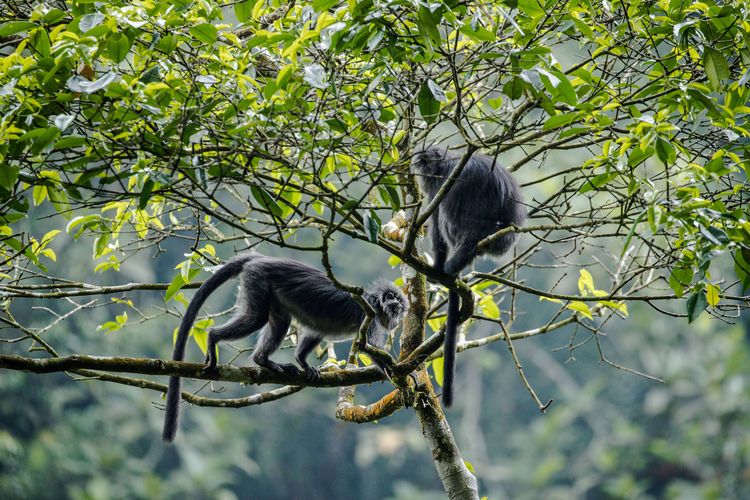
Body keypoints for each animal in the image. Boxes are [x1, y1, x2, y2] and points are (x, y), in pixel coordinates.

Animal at [164, 252, 408, 444]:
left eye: (401, 311)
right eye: (396, 307)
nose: (397, 321)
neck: (374, 301)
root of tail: (261, 258)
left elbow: (315, 331)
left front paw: (302, 362)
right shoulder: (371, 316)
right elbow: (370, 348)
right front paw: (400, 376)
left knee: (279, 322)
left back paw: (263, 360)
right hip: (258, 281)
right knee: (256, 318)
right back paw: (214, 339)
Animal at [412, 146, 528, 408]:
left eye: (423, 164)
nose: (420, 175)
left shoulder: (441, 185)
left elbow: (438, 227)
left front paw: (438, 266)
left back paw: (453, 265)